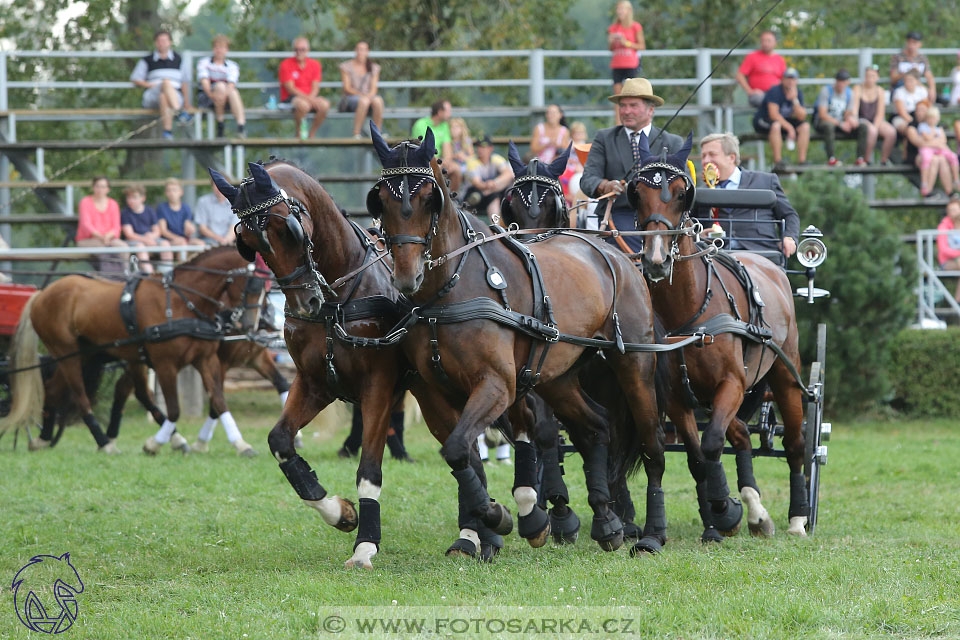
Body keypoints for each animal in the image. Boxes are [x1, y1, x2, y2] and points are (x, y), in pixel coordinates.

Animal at [0, 245, 262, 456]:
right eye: (252, 285)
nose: (250, 325)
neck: (181, 302)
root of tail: (41, 294)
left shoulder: (205, 359)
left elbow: (219, 400)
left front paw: (240, 444)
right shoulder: (165, 364)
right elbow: (174, 409)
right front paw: (154, 444)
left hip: (83, 355)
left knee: (54, 390)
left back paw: (43, 439)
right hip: (67, 354)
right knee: (81, 397)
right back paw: (104, 442)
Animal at [211, 160, 416, 568]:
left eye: (287, 230)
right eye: (250, 245)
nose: (306, 303)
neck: (339, 297)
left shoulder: (378, 386)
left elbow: (369, 469)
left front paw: (366, 544)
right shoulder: (313, 383)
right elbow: (280, 441)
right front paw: (339, 512)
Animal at [368, 124, 668, 556]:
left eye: (428, 198)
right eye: (381, 200)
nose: (408, 277)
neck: (448, 290)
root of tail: (615, 254)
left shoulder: (497, 384)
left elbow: (461, 448)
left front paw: (509, 516)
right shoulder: (434, 395)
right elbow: (462, 455)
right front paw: (489, 523)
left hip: (634, 364)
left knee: (652, 443)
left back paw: (652, 533)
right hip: (557, 376)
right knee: (595, 427)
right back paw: (606, 520)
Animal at [632, 132, 812, 536]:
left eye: (681, 193)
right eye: (636, 192)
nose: (656, 259)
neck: (691, 311)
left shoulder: (731, 381)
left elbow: (712, 443)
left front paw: (723, 507)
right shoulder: (676, 396)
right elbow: (698, 455)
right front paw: (724, 511)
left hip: (784, 374)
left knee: (795, 443)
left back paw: (798, 517)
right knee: (742, 434)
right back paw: (757, 512)